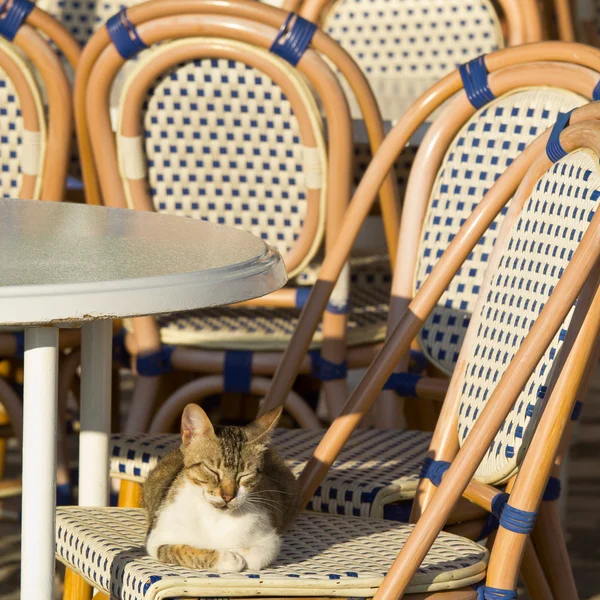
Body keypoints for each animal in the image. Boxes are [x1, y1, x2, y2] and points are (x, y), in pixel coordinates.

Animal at [143, 404, 298, 572]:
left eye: (244, 475)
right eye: (212, 471)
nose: (228, 496)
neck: (215, 517)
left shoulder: (270, 539)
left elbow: (258, 556)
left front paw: (237, 552)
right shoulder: (156, 540)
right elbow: (182, 550)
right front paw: (228, 558)